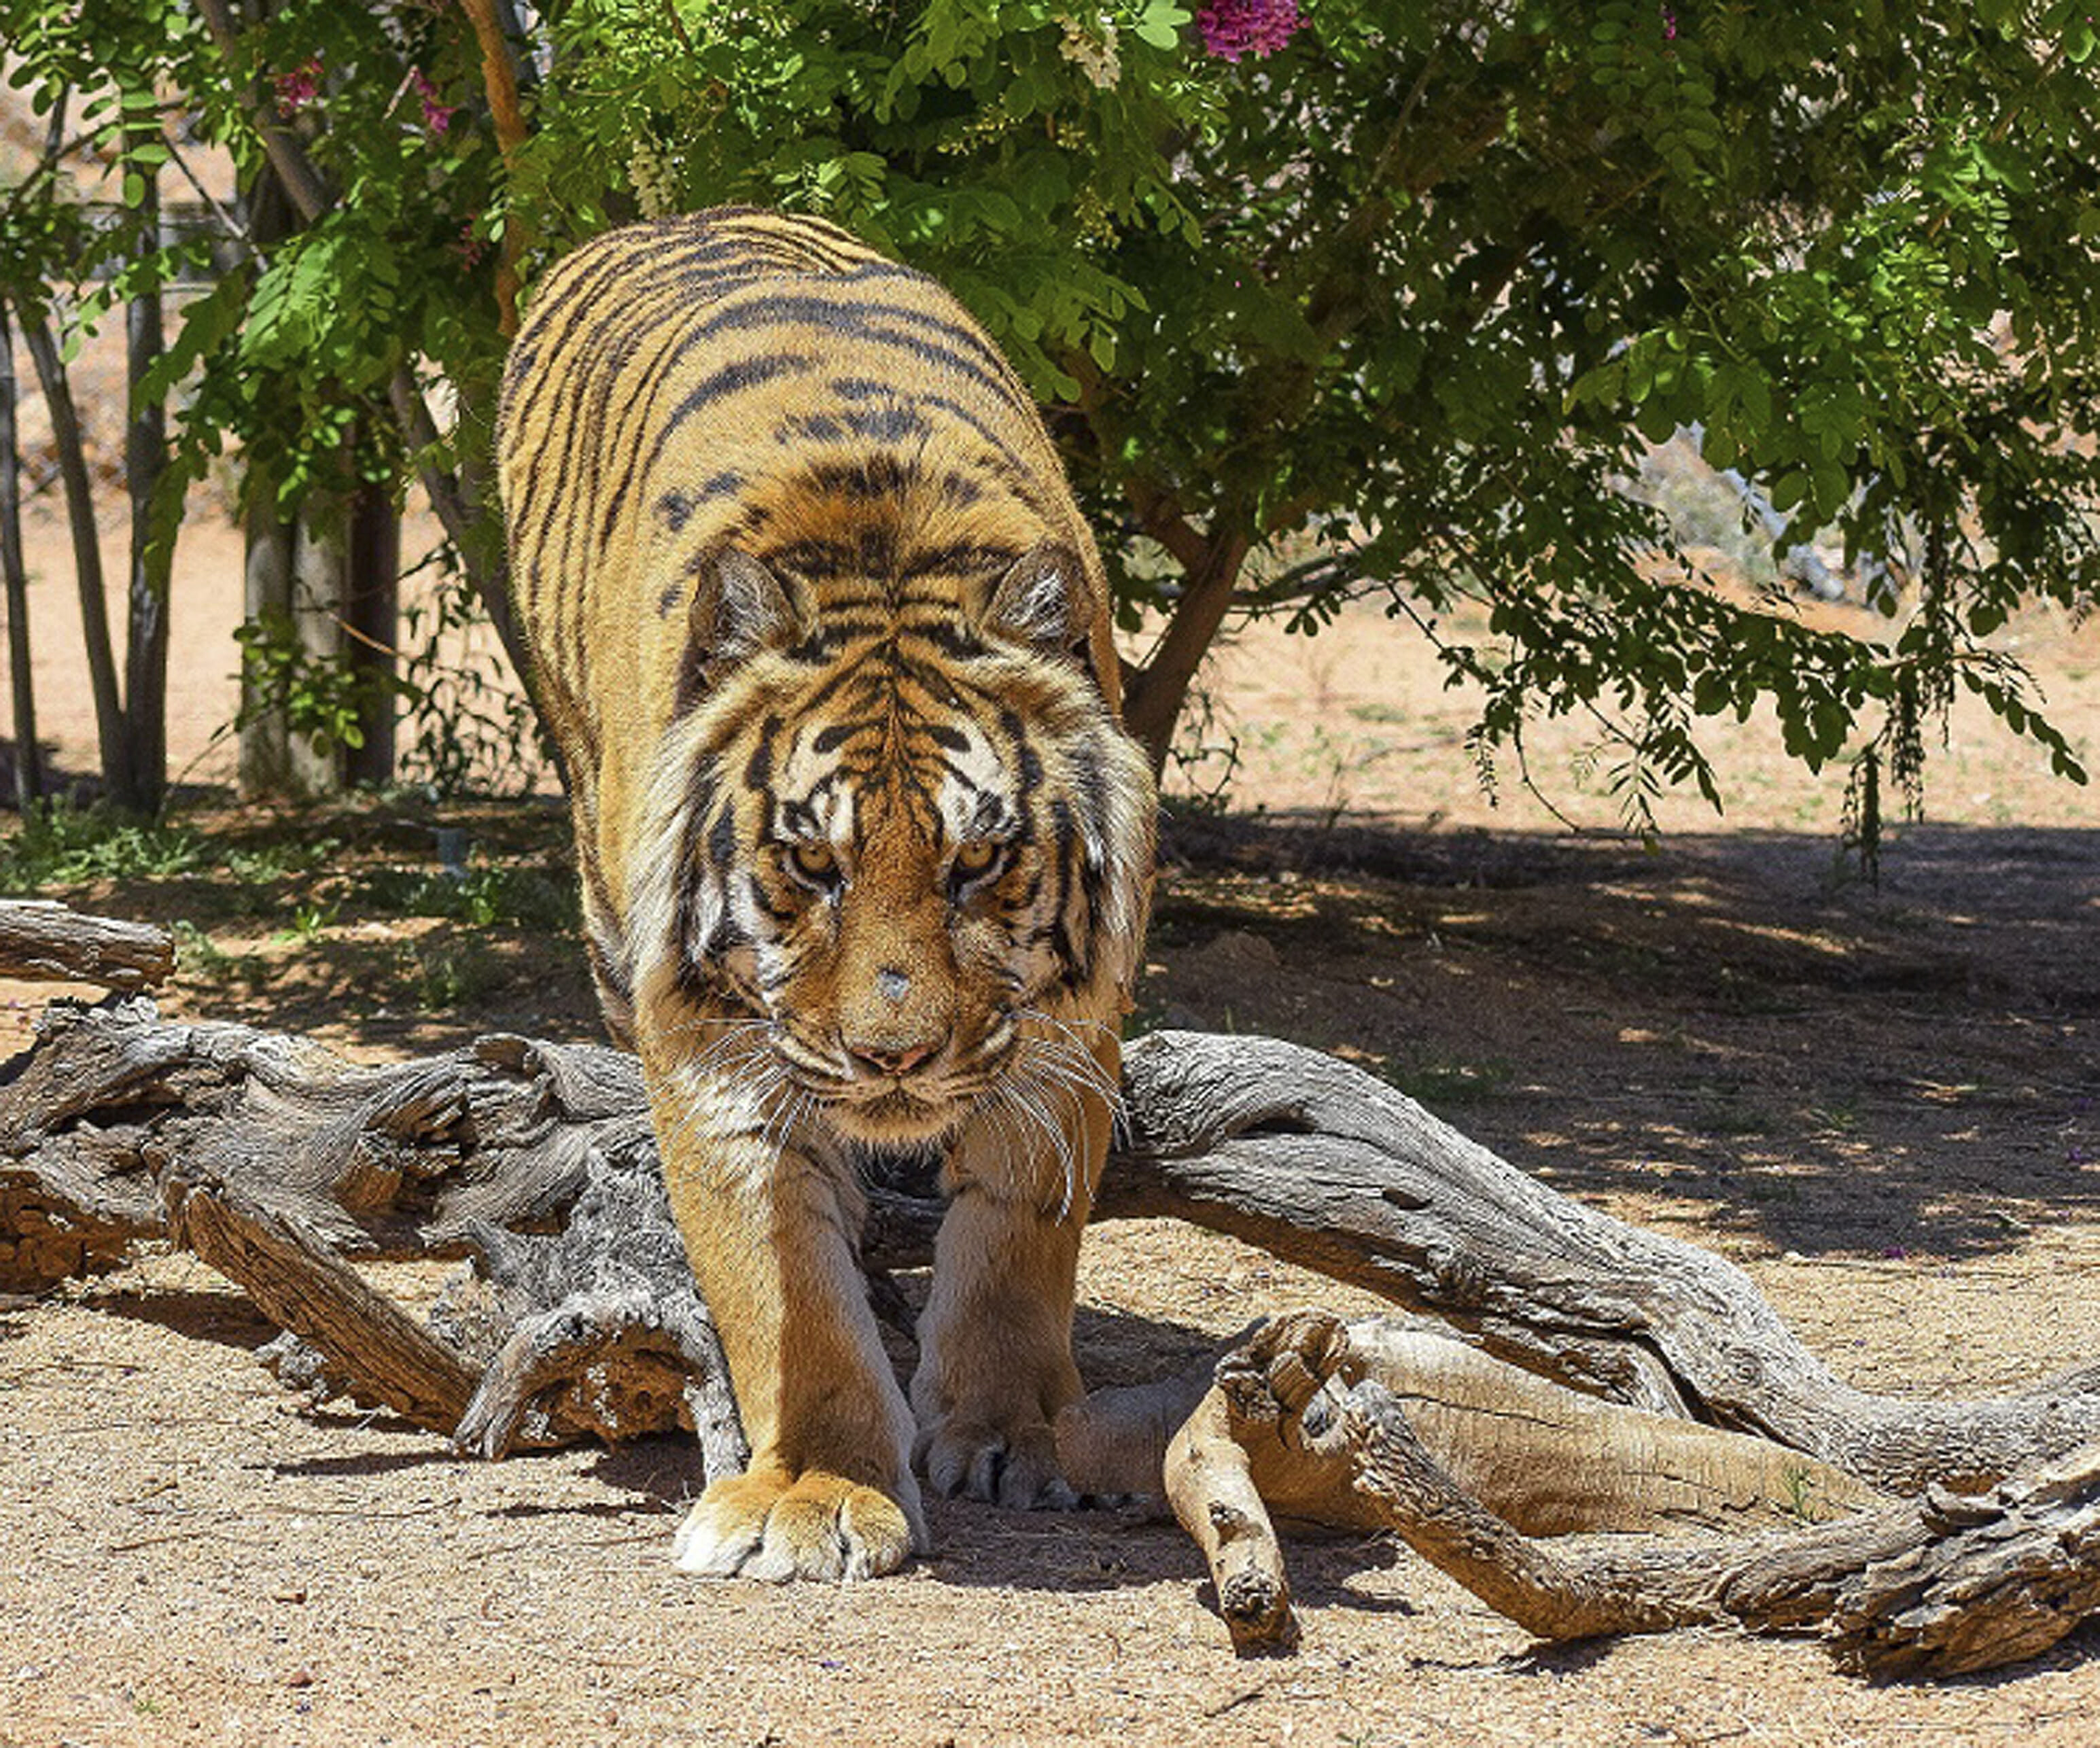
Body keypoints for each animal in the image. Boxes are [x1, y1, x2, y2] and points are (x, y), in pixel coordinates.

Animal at [497, 208, 1159, 1579]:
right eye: (811, 864)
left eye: (979, 861)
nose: (894, 1058)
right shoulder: (708, 1033)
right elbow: (779, 1276)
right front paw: (813, 1487)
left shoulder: (1070, 1020)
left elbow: (1020, 1237)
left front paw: (1014, 1437)